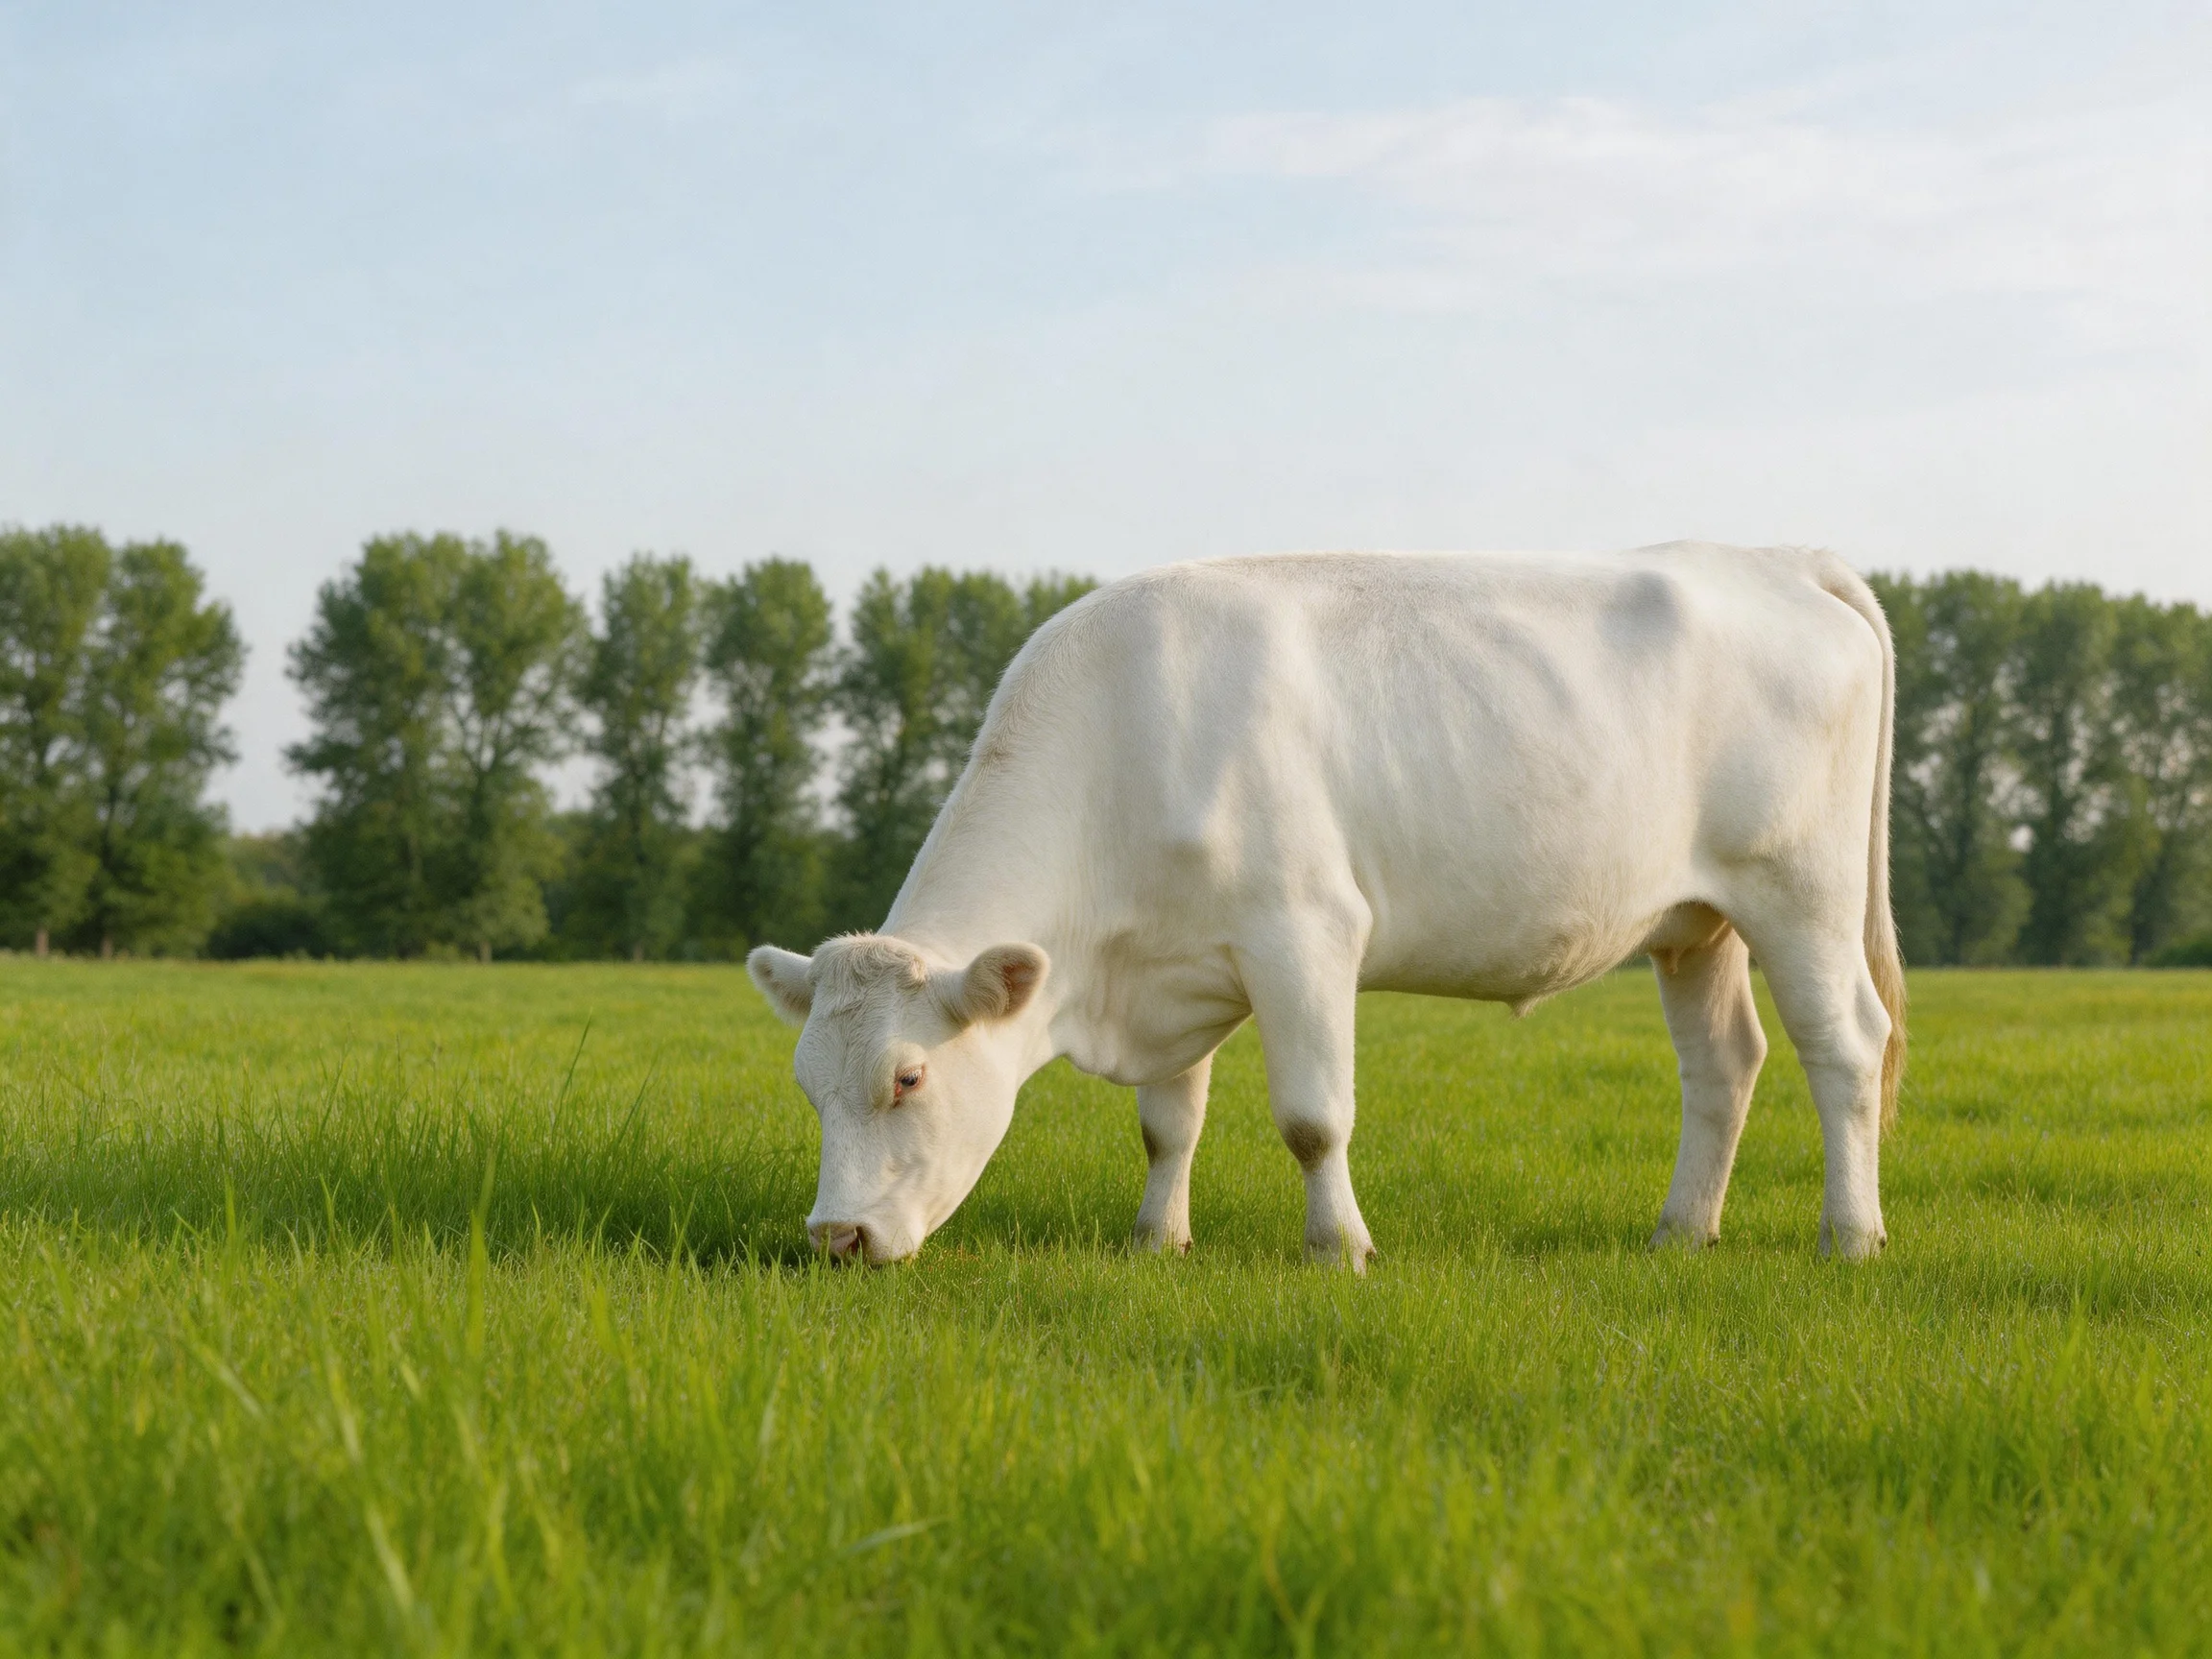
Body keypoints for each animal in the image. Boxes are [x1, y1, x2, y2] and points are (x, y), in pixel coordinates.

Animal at [747, 542, 1905, 1269]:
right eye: (805, 1086)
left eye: (909, 1077)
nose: (836, 1240)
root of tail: (1775, 557)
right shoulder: (1174, 960)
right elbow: (1168, 1125)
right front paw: (1156, 1240)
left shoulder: (1302, 934)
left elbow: (1312, 1119)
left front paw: (1338, 1247)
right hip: (1696, 920)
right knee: (1724, 1063)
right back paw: (1679, 1232)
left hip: (1800, 889)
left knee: (1845, 1043)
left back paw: (1849, 1236)